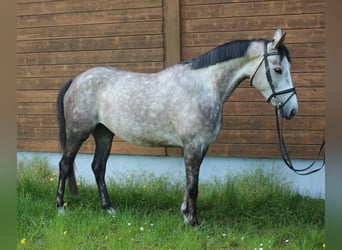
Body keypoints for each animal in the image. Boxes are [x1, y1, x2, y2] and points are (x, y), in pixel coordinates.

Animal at [55, 29, 296, 227]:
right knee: (65, 164)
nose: (292, 110)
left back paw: (109, 209)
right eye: (277, 69)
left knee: (98, 167)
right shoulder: (193, 145)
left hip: (104, 133)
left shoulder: (201, 146)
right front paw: (194, 222)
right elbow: (193, 186)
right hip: (78, 132)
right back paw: (60, 208)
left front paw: (185, 214)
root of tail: (76, 79)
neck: (203, 86)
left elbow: (189, 182)